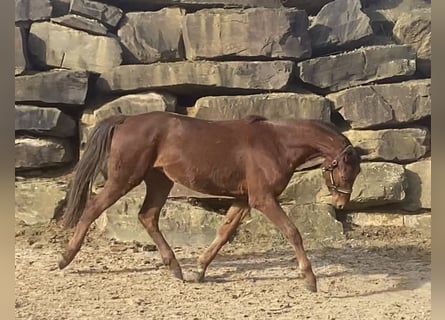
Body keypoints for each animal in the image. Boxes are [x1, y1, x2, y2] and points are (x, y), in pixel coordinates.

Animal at [57, 112, 360, 292]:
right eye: (347, 171)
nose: (341, 205)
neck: (277, 143)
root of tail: (126, 119)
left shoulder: (243, 199)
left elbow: (224, 233)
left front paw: (200, 269)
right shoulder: (262, 199)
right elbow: (292, 232)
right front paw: (310, 279)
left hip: (159, 181)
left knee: (147, 216)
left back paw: (176, 268)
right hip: (125, 178)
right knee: (93, 208)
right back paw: (65, 258)